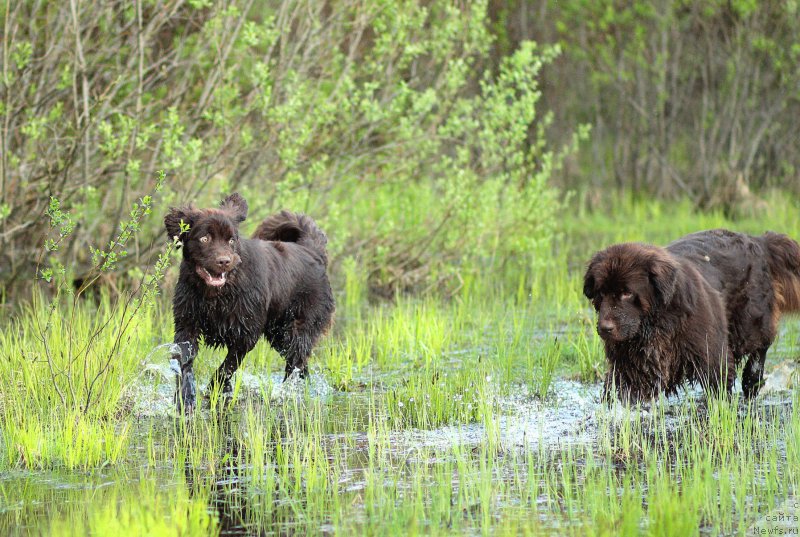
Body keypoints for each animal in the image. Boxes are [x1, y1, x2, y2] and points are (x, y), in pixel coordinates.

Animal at [166, 193, 334, 410]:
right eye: (204, 238)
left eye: (231, 240)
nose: (224, 261)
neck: (216, 296)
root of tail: (312, 251)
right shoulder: (187, 326)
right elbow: (184, 363)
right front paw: (185, 398)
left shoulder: (245, 334)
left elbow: (226, 367)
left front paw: (215, 391)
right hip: (278, 334)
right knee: (301, 365)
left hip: (296, 331)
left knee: (296, 362)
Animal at [580, 227, 800, 402]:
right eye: (600, 293)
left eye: (627, 293)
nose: (605, 328)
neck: (659, 321)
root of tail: (758, 241)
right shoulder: (632, 365)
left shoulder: (712, 355)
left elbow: (719, 386)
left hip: (747, 322)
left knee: (761, 343)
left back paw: (751, 380)